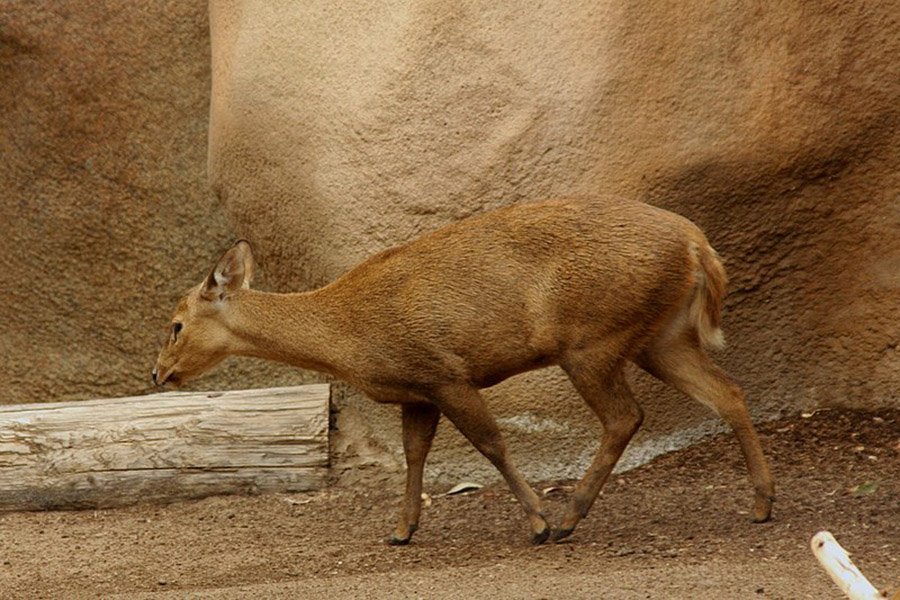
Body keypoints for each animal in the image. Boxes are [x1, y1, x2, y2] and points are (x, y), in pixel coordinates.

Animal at [152, 196, 775, 545]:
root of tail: (699, 248)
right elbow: (414, 453)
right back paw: (763, 504)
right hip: (661, 336)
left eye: (176, 323)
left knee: (626, 416)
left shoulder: (445, 371)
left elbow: (491, 442)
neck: (348, 335)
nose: (159, 374)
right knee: (729, 392)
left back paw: (569, 518)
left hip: (592, 340)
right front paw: (401, 530)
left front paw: (537, 523)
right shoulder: (416, 390)